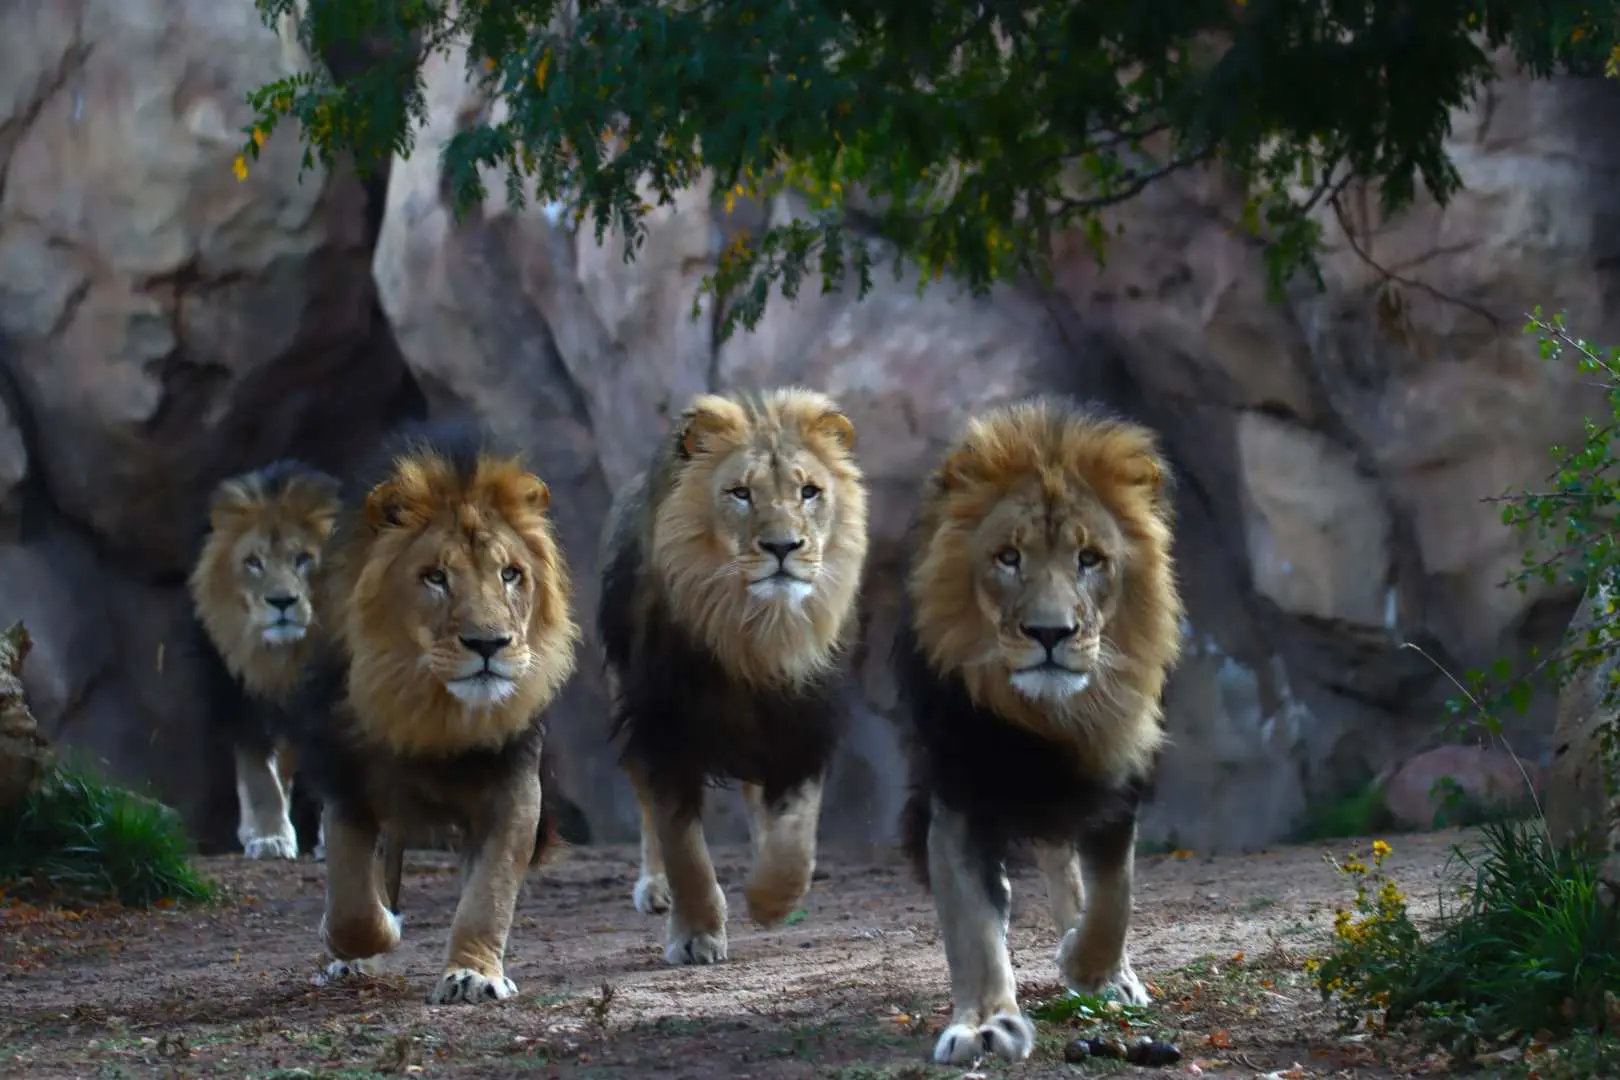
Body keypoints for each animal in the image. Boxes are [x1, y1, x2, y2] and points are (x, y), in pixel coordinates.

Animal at [188, 459, 342, 861]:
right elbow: (259, 776)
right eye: (253, 562)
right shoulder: (242, 698)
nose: (282, 601)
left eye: (303, 559)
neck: (286, 656)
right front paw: (270, 837)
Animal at [281, 422, 581, 1006]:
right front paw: (357, 940)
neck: (434, 711)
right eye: (436, 577)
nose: (488, 644)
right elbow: (352, 904)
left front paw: (473, 974)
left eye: (510, 574)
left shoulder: (514, 789)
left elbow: (488, 895)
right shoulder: (348, 785)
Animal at [598, 387, 869, 965]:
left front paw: (772, 899)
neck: (754, 632)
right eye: (740, 493)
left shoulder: (804, 722)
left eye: (809, 492)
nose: (783, 547)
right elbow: (682, 845)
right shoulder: (662, 725)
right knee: (647, 809)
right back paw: (655, 888)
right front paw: (696, 933)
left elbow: (796, 832)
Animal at [891, 396, 1185, 1065]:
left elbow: (1114, 896)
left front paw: (1091, 967)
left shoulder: (1117, 781)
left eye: (1089, 559)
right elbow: (974, 925)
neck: (1047, 720)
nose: (1050, 634)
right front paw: (983, 1023)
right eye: (1008, 557)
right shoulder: (959, 795)